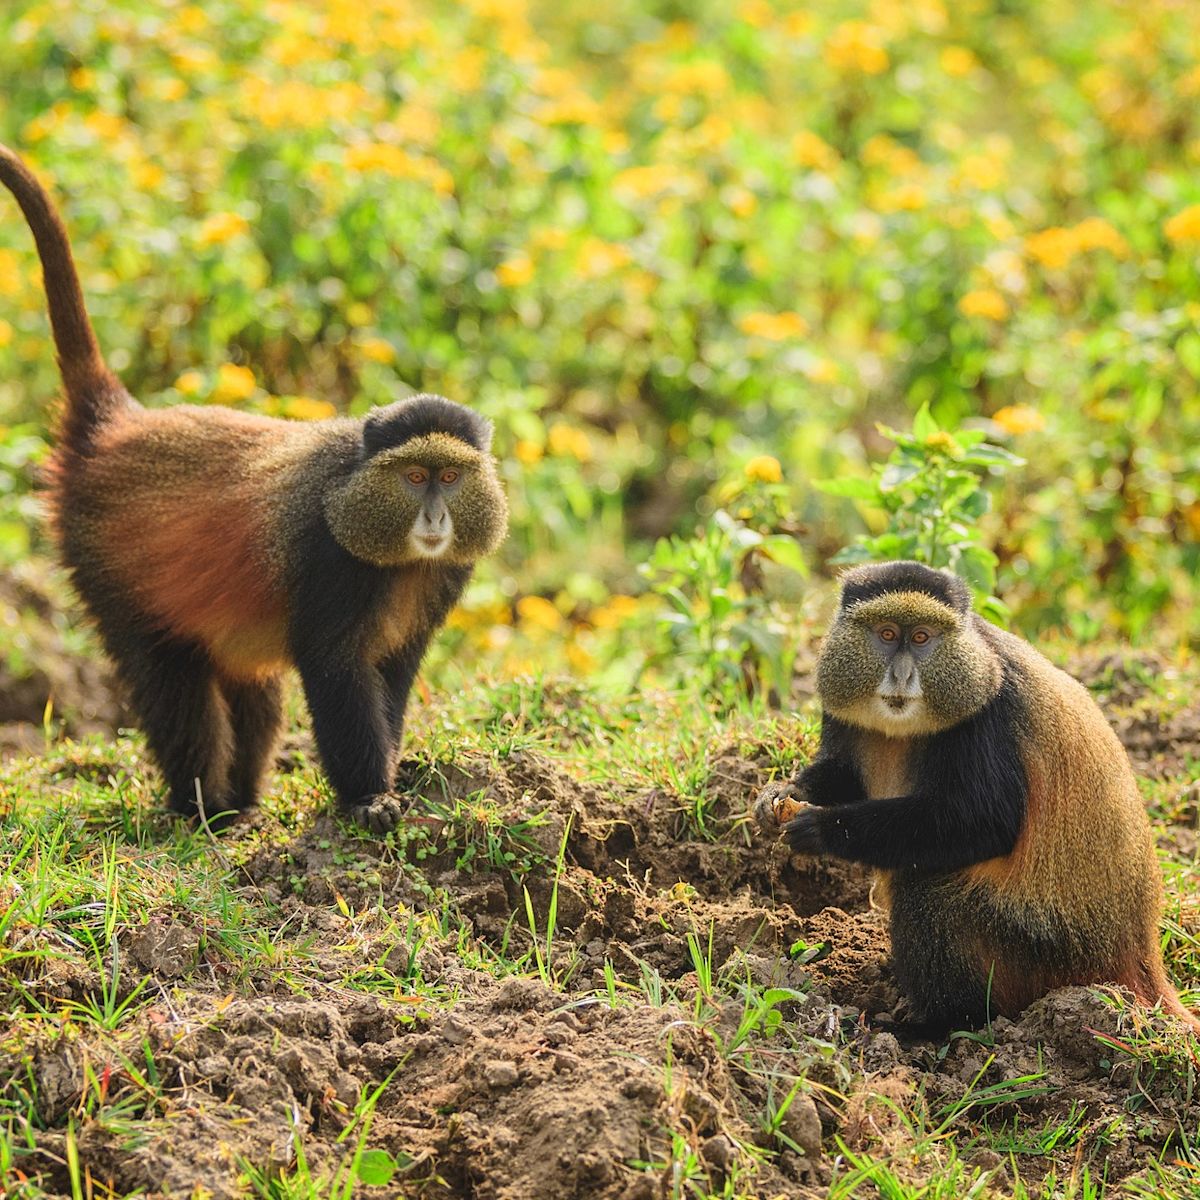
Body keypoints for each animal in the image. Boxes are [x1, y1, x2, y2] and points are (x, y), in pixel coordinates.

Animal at [0, 140, 506, 830]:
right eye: (415, 476)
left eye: (450, 477)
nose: (434, 519)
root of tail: (117, 427)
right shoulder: (327, 559)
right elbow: (336, 671)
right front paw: (369, 798)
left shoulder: (443, 578)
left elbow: (393, 673)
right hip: (110, 572)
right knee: (175, 690)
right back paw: (200, 810)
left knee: (254, 694)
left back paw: (240, 803)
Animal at [758, 561, 1190, 1032]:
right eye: (887, 634)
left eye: (923, 637)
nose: (902, 676)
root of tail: (1136, 955)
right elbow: (843, 774)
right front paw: (778, 795)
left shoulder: (985, 715)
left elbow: (985, 823)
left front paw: (822, 829)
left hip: (1034, 946)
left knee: (923, 889)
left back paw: (934, 1025)